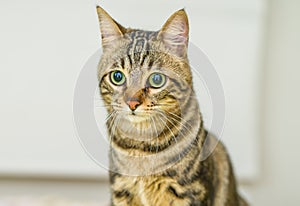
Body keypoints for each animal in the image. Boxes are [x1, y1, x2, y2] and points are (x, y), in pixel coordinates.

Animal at [96, 5, 248, 205]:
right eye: (117, 77)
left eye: (156, 79)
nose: (132, 103)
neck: (141, 148)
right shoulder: (121, 192)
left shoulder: (191, 193)